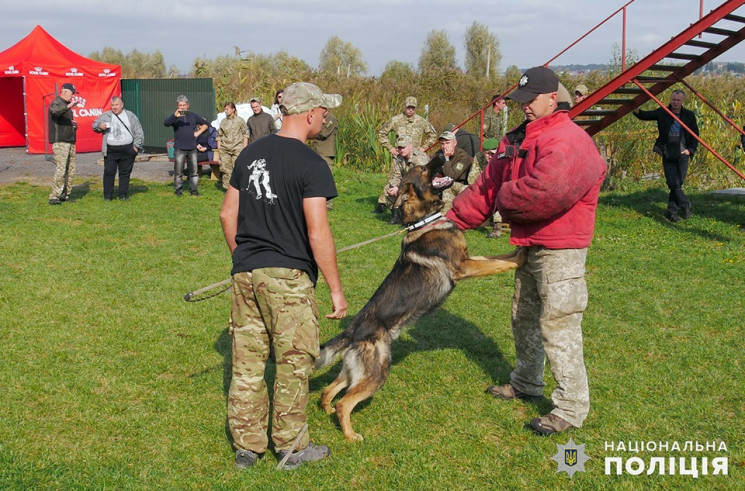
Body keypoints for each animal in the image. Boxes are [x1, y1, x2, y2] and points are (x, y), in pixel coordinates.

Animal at [314, 158, 524, 442]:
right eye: (424, 169)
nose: (440, 155)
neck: (424, 221)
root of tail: (353, 330)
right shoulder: (464, 266)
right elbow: (498, 264)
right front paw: (523, 255)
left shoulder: (468, 259)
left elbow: (497, 258)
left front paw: (519, 247)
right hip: (377, 373)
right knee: (344, 403)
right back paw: (351, 436)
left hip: (354, 371)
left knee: (329, 390)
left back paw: (326, 411)